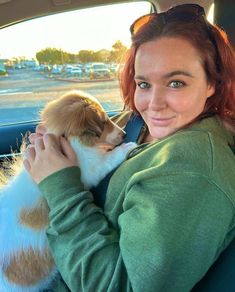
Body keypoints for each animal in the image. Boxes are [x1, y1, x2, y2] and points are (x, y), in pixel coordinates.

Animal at [0, 90, 136, 290]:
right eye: (103, 121)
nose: (125, 134)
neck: (65, 138)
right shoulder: (90, 168)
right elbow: (107, 159)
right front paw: (127, 147)